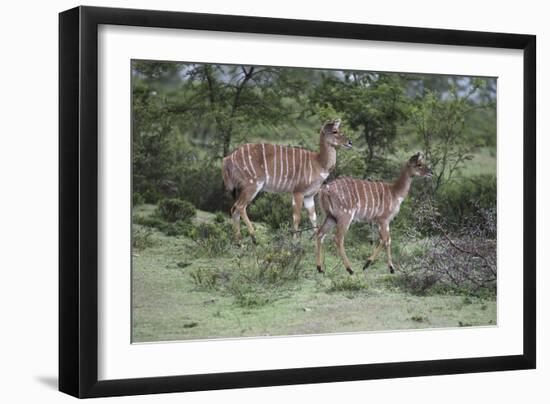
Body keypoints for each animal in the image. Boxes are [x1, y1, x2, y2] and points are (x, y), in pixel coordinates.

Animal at [221, 119, 354, 243]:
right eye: (335, 131)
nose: (350, 142)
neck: (319, 163)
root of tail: (227, 159)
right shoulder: (298, 192)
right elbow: (297, 217)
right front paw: (295, 241)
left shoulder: (309, 196)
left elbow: (313, 217)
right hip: (252, 185)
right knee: (240, 207)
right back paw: (254, 238)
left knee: (234, 209)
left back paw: (240, 243)